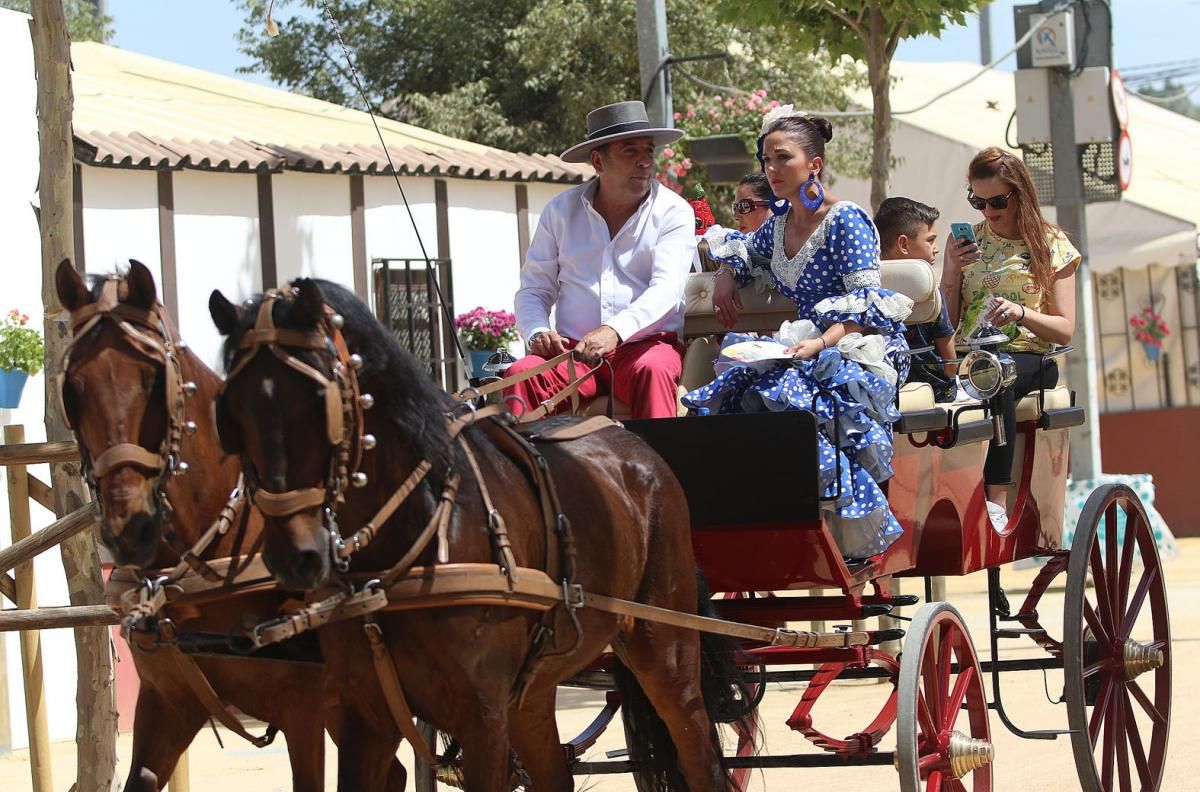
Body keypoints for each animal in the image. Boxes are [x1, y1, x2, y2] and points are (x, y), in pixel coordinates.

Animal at [55, 261, 408, 792]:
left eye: (153, 380)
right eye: (72, 390)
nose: (128, 529)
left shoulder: (303, 708)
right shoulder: (168, 701)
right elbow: (141, 776)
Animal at [206, 277, 748, 787]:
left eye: (321, 401)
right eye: (230, 409)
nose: (294, 556)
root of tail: (636, 445)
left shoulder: (481, 716)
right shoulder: (362, 717)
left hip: (666, 650)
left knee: (700, 757)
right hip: (532, 691)